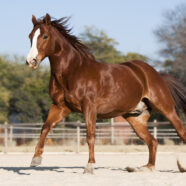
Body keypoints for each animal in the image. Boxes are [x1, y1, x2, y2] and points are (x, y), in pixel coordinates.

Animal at [25, 13, 186, 174]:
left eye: (45, 36)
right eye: (30, 36)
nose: (31, 61)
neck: (73, 71)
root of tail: (154, 74)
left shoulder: (89, 107)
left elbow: (90, 135)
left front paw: (90, 166)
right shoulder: (60, 107)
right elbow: (45, 127)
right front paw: (36, 159)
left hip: (166, 108)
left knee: (180, 131)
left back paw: (179, 167)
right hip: (135, 118)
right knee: (152, 141)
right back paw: (143, 168)